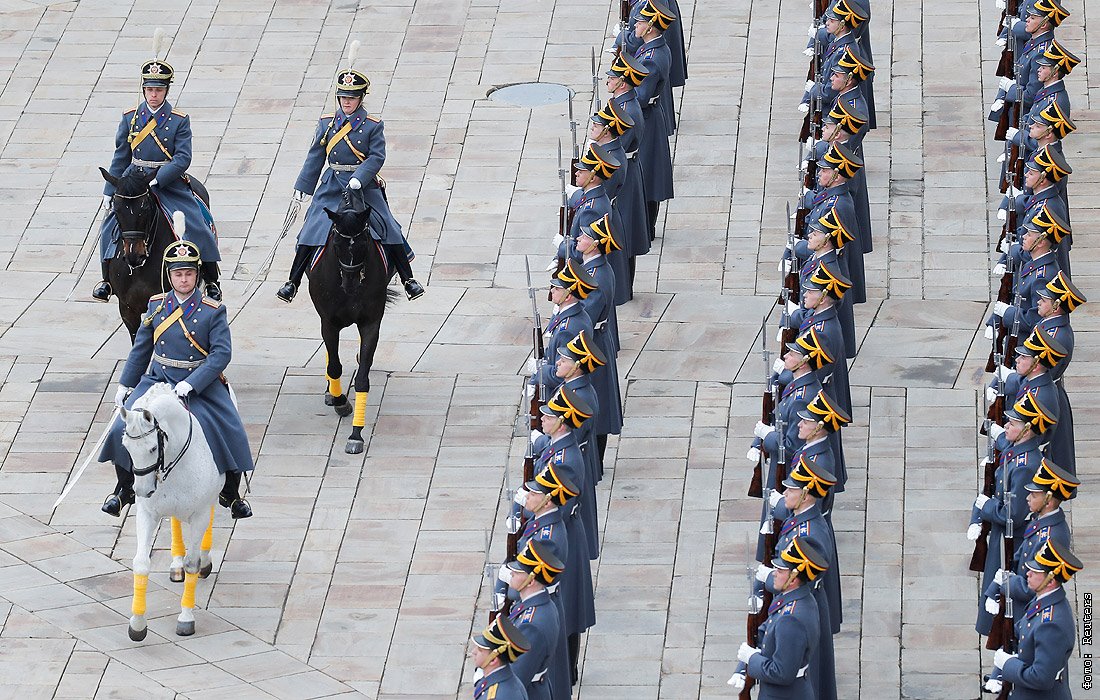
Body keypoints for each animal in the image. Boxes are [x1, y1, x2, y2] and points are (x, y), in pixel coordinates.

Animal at [120, 383, 223, 638]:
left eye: (152, 448)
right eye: (125, 446)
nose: (142, 490)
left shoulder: (199, 514)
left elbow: (192, 564)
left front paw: (186, 618)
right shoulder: (147, 514)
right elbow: (141, 563)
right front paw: (137, 623)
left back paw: (205, 559)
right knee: (175, 520)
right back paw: (176, 562)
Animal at [308, 199, 398, 455]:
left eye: (364, 242)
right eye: (337, 244)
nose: (350, 284)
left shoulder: (370, 323)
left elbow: (362, 378)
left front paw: (356, 433)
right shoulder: (328, 322)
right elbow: (334, 366)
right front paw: (340, 401)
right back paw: (331, 391)